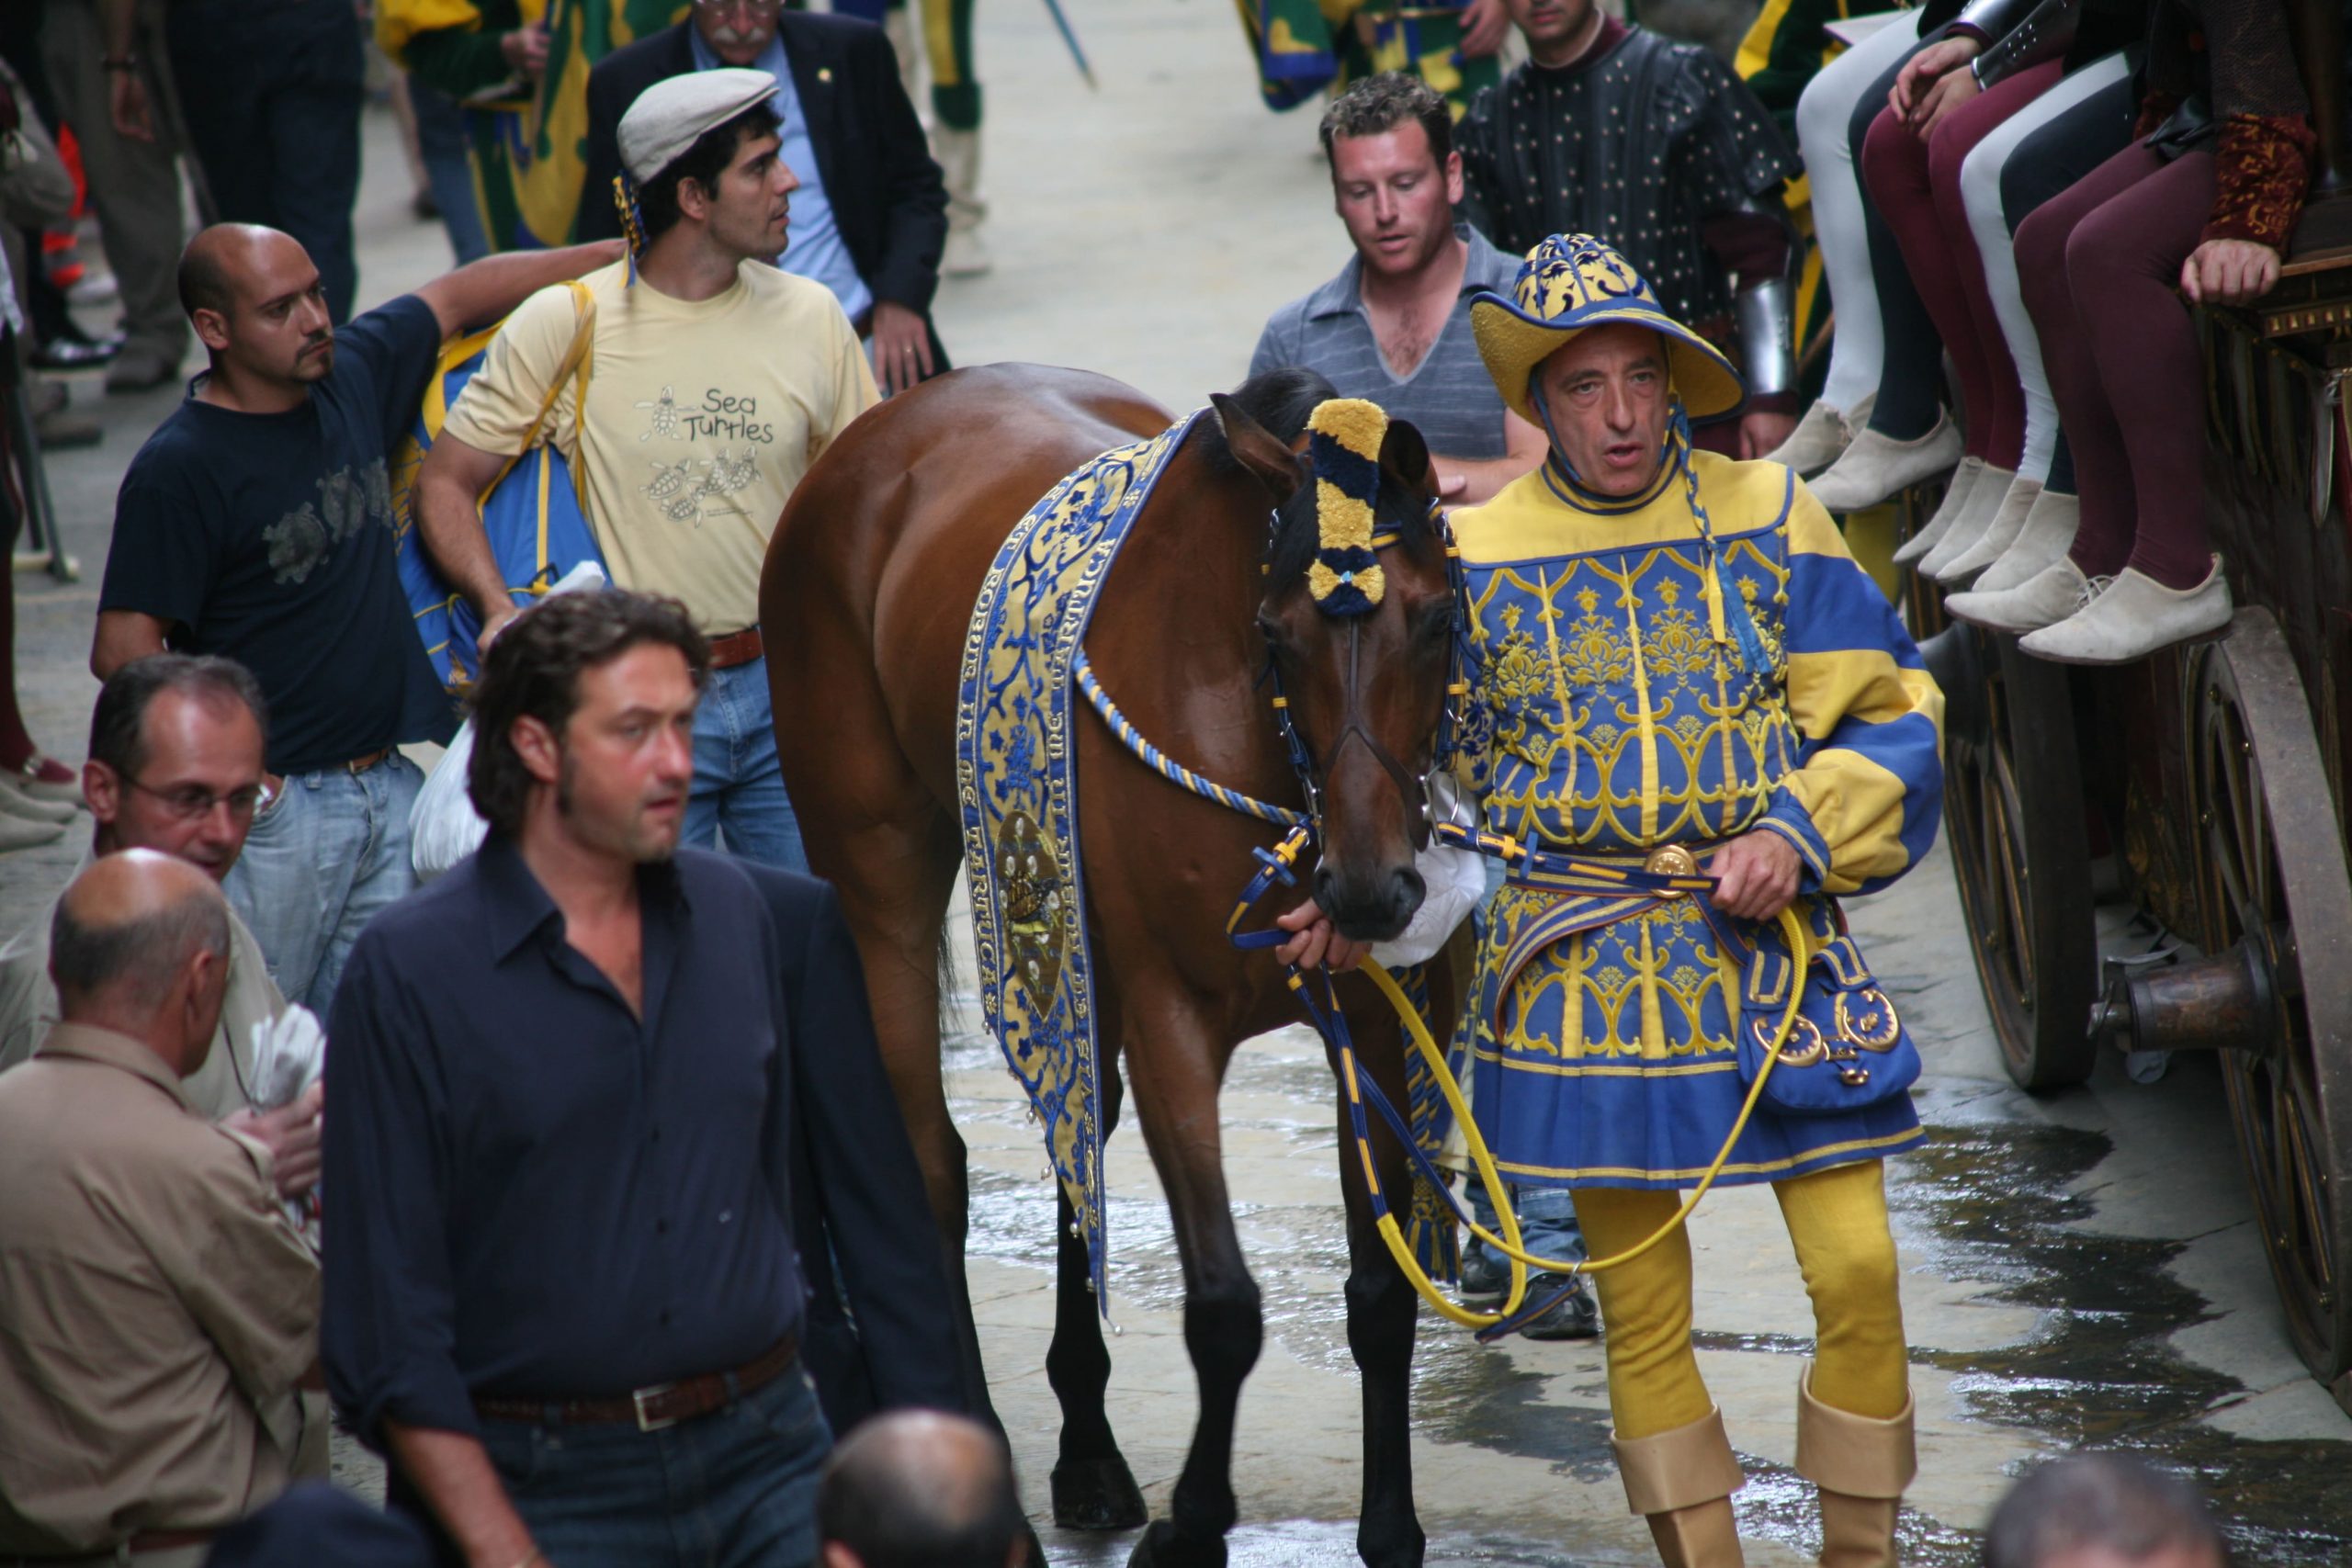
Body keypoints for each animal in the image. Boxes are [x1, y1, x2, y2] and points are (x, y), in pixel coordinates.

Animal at [757, 364, 1448, 1568]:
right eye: (1275, 634)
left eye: (1439, 618)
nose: (1370, 888)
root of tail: (888, 421)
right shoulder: (1176, 1017)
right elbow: (1223, 1307)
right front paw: (1194, 1524)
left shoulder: (1368, 1022)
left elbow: (1379, 1290)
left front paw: (1390, 1526)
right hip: (876, 873)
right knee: (932, 1165)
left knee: (1073, 1133)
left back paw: (1084, 1448)